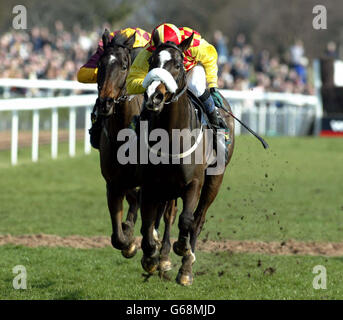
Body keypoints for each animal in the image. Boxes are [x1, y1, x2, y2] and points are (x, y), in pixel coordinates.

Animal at [138, 30, 235, 284]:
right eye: (152, 62)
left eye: (178, 64)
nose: (154, 97)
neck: (172, 136)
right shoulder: (151, 184)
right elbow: (147, 224)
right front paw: (151, 257)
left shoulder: (194, 182)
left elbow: (187, 220)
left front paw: (182, 249)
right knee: (168, 216)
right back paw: (163, 258)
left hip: (214, 180)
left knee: (198, 220)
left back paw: (186, 269)